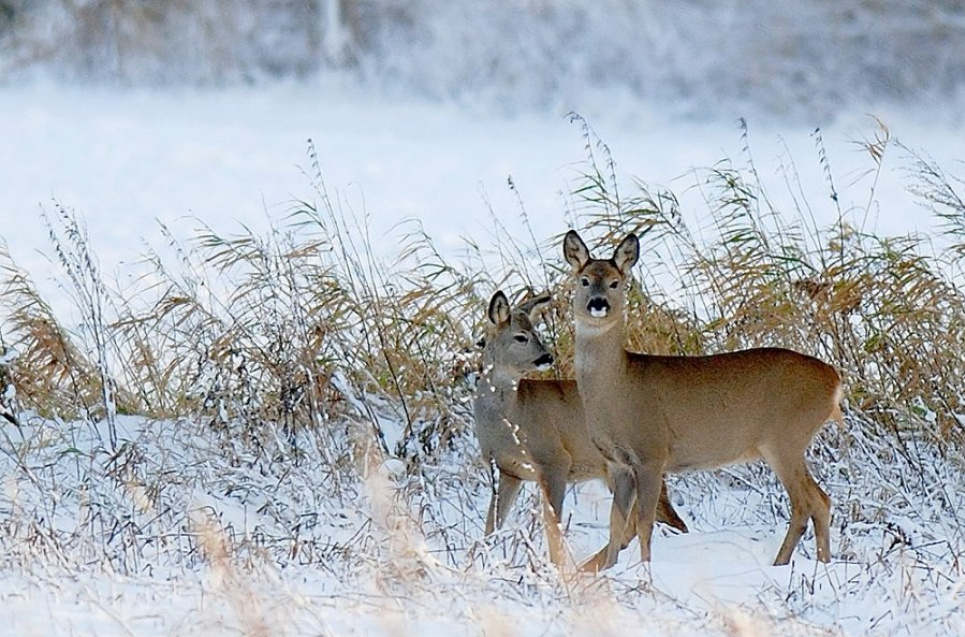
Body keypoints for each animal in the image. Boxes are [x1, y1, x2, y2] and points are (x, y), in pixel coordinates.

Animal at [472, 288, 684, 568]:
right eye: (521, 336)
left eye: (536, 333)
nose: (547, 357)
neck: (510, 419)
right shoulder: (508, 470)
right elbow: (491, 525)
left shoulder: (554, 458)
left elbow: (553, 525)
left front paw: (555, 568)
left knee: (667, 521)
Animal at [560, 230, 840, 568]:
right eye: (584, 280)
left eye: (615, 282)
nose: (598, 304)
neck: (617, 388)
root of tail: (834, 379)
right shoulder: (617, 462)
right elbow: (616, 524)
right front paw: (611, 570)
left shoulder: (651, 452)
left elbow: (642, 522)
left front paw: (645, 569)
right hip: (789, 443)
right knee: (821, 500)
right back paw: (822, 564)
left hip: (785, 438)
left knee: (805, 503)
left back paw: (782, 564)